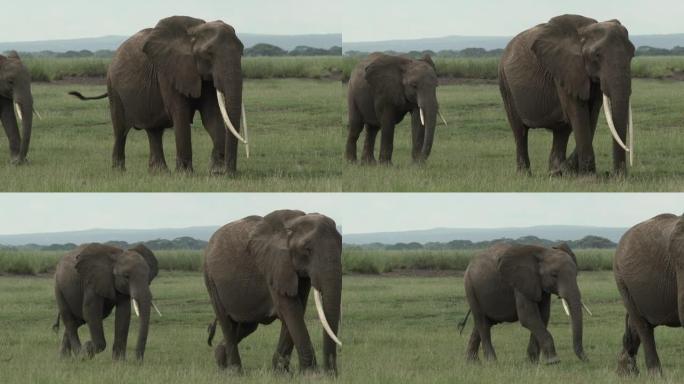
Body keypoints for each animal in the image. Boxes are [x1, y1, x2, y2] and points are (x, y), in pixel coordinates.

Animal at [69, 15, 248, 175]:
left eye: (242, 52)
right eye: (209, 54)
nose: (230, 173)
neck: (194, 31)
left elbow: (211, 117)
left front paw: (216, 172)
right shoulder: (170, 72)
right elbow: (180, 115)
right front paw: (185, 174)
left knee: (154, 131)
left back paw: (159, 172)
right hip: (114, 88)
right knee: (120, 130)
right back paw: (119, 172)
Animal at [203, 210, 342, 376]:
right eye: (307, 249)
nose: (331, 374)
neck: (291, 225)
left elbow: (297, 310)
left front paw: (281, 373)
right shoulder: (273, 266)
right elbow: (291, 310)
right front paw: (311, 375)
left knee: (246, 326)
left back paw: (221, 364)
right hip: (210, 280)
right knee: (227, 323)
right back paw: (235, 372)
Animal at [462, 242, 592, 364]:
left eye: (576, 274)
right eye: (554, 275)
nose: (587, 360)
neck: (543, 252)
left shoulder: (539, 285)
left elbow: (543, 316)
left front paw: (532, 363)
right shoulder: (520, 282)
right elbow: (528, 317)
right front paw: (553, 361)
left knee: (482, 324)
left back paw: (472, 363)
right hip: (470, 287)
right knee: (482, 323)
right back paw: (492, 363)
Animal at [496, 14, 636, 176]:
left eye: (632, 54)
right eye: (597, 55)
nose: (617, 175)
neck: (583, 33)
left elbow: (592, 114)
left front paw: (566, 171)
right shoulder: (565, 70)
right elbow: (578, 113)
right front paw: (588, 176)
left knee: (562, 131)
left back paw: (555, 171)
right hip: (505, 83)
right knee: (520, 131)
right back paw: (527, 174)